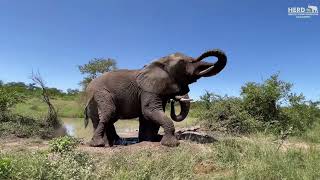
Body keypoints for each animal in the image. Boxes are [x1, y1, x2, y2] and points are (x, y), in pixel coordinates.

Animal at [83, 48, 228, 146]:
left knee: (107, 118)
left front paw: (149, 140)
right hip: (100, 94)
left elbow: (149, 116)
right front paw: (171, 144)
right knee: (108, 113)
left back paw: (116, 141)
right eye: (182, 62)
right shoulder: (147, 89)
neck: (160, 61)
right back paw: (101, 144)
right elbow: (149, 111)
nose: (200, 56)